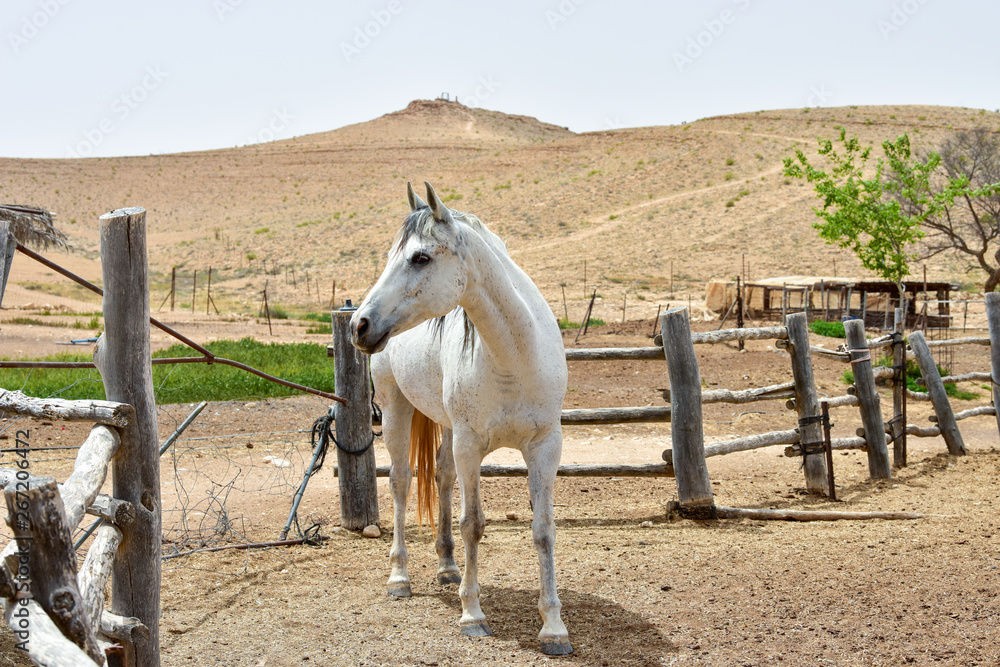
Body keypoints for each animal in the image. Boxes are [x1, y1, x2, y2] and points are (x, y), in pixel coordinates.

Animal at [350, 181, 573, 655]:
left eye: (420, 257)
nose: (360, 325)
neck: (513, 355)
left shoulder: (545, 446)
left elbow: (543, 529)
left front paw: (554, 627)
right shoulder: (471, 445)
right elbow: (474, 524)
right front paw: (472, 614)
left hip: (449, 430)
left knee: (442, 478)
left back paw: (448, 568)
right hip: (397, 410)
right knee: (401, 482)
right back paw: (400, 577)